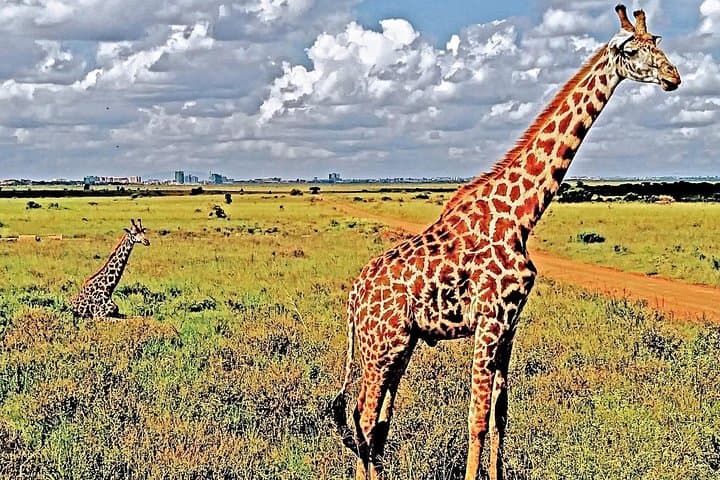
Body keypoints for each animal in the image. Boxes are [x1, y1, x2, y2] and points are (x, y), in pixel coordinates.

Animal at [332, 6, 680, 480]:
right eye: (631, 50)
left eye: (657, 43)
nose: (673, 76)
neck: (521, 215)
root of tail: (354, 296)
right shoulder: (489, 320)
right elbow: (477, 418)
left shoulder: (510, 325)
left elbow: (500, 415)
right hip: (381, 345)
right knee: (364, 420)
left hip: (399, 345)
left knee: (373, 424)